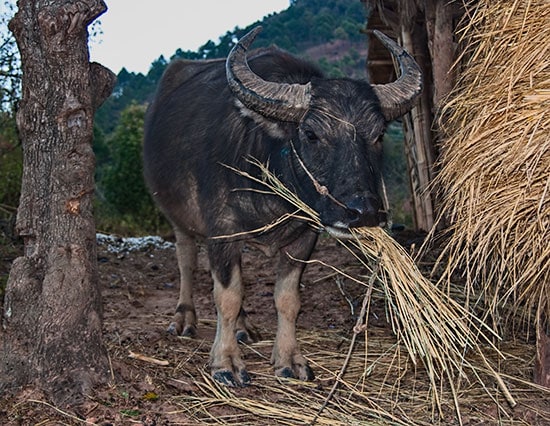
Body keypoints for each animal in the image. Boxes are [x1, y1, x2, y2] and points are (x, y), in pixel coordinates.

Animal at [144, 25, 424, 386]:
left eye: (377, 135)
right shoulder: (221, 233)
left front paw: (290, 359)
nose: (362, 211)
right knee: (186, 263)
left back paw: (244, 327)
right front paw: (225, 362)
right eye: (311, 133)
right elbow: (226, 296)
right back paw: (185, 319)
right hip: (178, 219)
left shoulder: (304, 237)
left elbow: (287, 299)